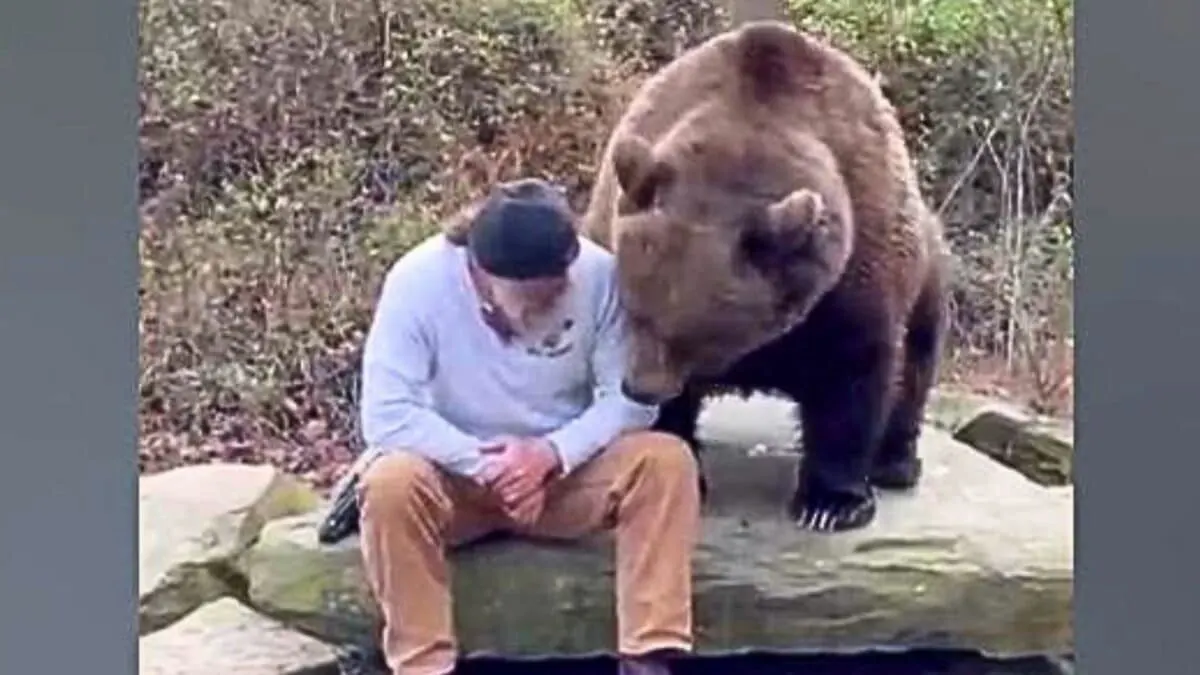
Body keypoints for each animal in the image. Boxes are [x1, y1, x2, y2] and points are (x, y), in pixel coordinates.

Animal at [576, 19, 950, 530]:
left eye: (698, 336)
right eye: (634, 313)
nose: (642, 387)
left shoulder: (855, 270)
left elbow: (854, 372)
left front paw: (831, 502)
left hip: (928, 270)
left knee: (916, 361)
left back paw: (895, 464)